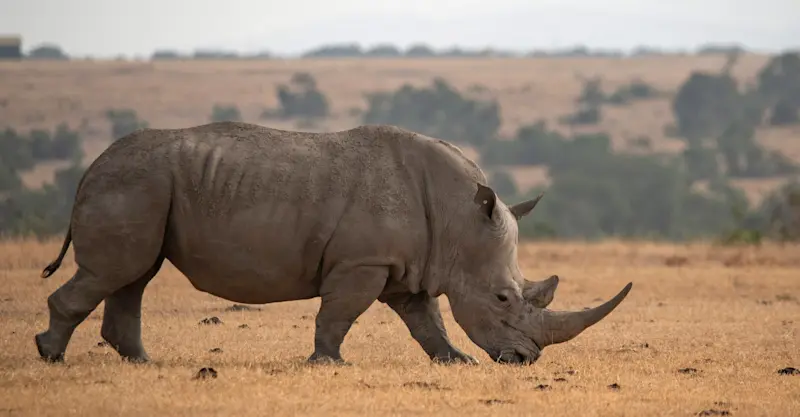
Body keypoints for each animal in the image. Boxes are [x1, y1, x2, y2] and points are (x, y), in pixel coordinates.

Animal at [35, 121, 632, 365]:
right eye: (504, 298)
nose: (526, 360)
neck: (459, 221)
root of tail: (91, 168)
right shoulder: (362, 262)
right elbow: (339, 313)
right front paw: (327, 363)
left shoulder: (408, 266)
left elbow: (428, 321)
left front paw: (456, 361)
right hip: (132, 184)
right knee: (116, 272)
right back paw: (52, 356)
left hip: (144, 187)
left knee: (134, 274)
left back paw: (140, 362)